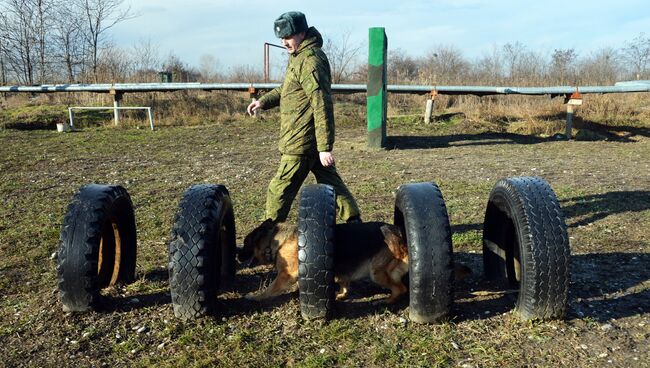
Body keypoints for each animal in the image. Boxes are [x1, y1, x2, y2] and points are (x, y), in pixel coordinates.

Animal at [238, 220, 410, 304]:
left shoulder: (285, 275)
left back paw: (386, 301)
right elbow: (343, 283)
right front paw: (341, 294)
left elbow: (270, 289)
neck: (274, 241)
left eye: (245, 244)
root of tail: (398, 236)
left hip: (377, 273)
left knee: (401, 289)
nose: (236, 257)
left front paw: (256, 297)